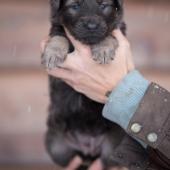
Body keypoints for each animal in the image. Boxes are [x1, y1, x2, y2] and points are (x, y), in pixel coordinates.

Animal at [43, 0, 149, 169]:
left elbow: (109, 34)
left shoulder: (118, 29)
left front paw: (103, 49)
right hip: (57, 147)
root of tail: (88, 148)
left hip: (111, 149)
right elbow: (59, 36)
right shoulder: (57, 27)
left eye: (103, 5)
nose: (92, 26)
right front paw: (52, 53)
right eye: (75, 6)